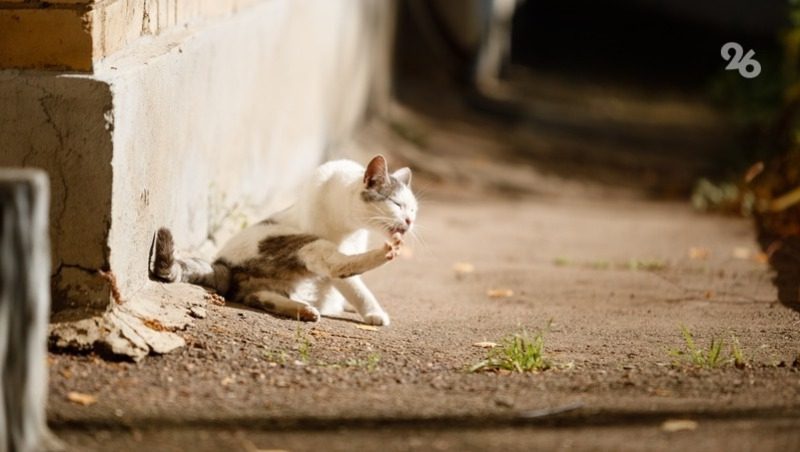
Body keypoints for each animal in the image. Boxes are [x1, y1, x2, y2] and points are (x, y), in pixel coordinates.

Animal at [148, 155, 418, 324]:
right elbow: (354, 286)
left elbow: (354, 286)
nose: (409, 221)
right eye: (397, 204)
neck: (349, 225)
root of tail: (221, 265)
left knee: (258, 296)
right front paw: (373, 313)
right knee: (337, 265)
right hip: (300, 243)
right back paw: (386, 252)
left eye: (414, 209)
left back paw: (304, 310)